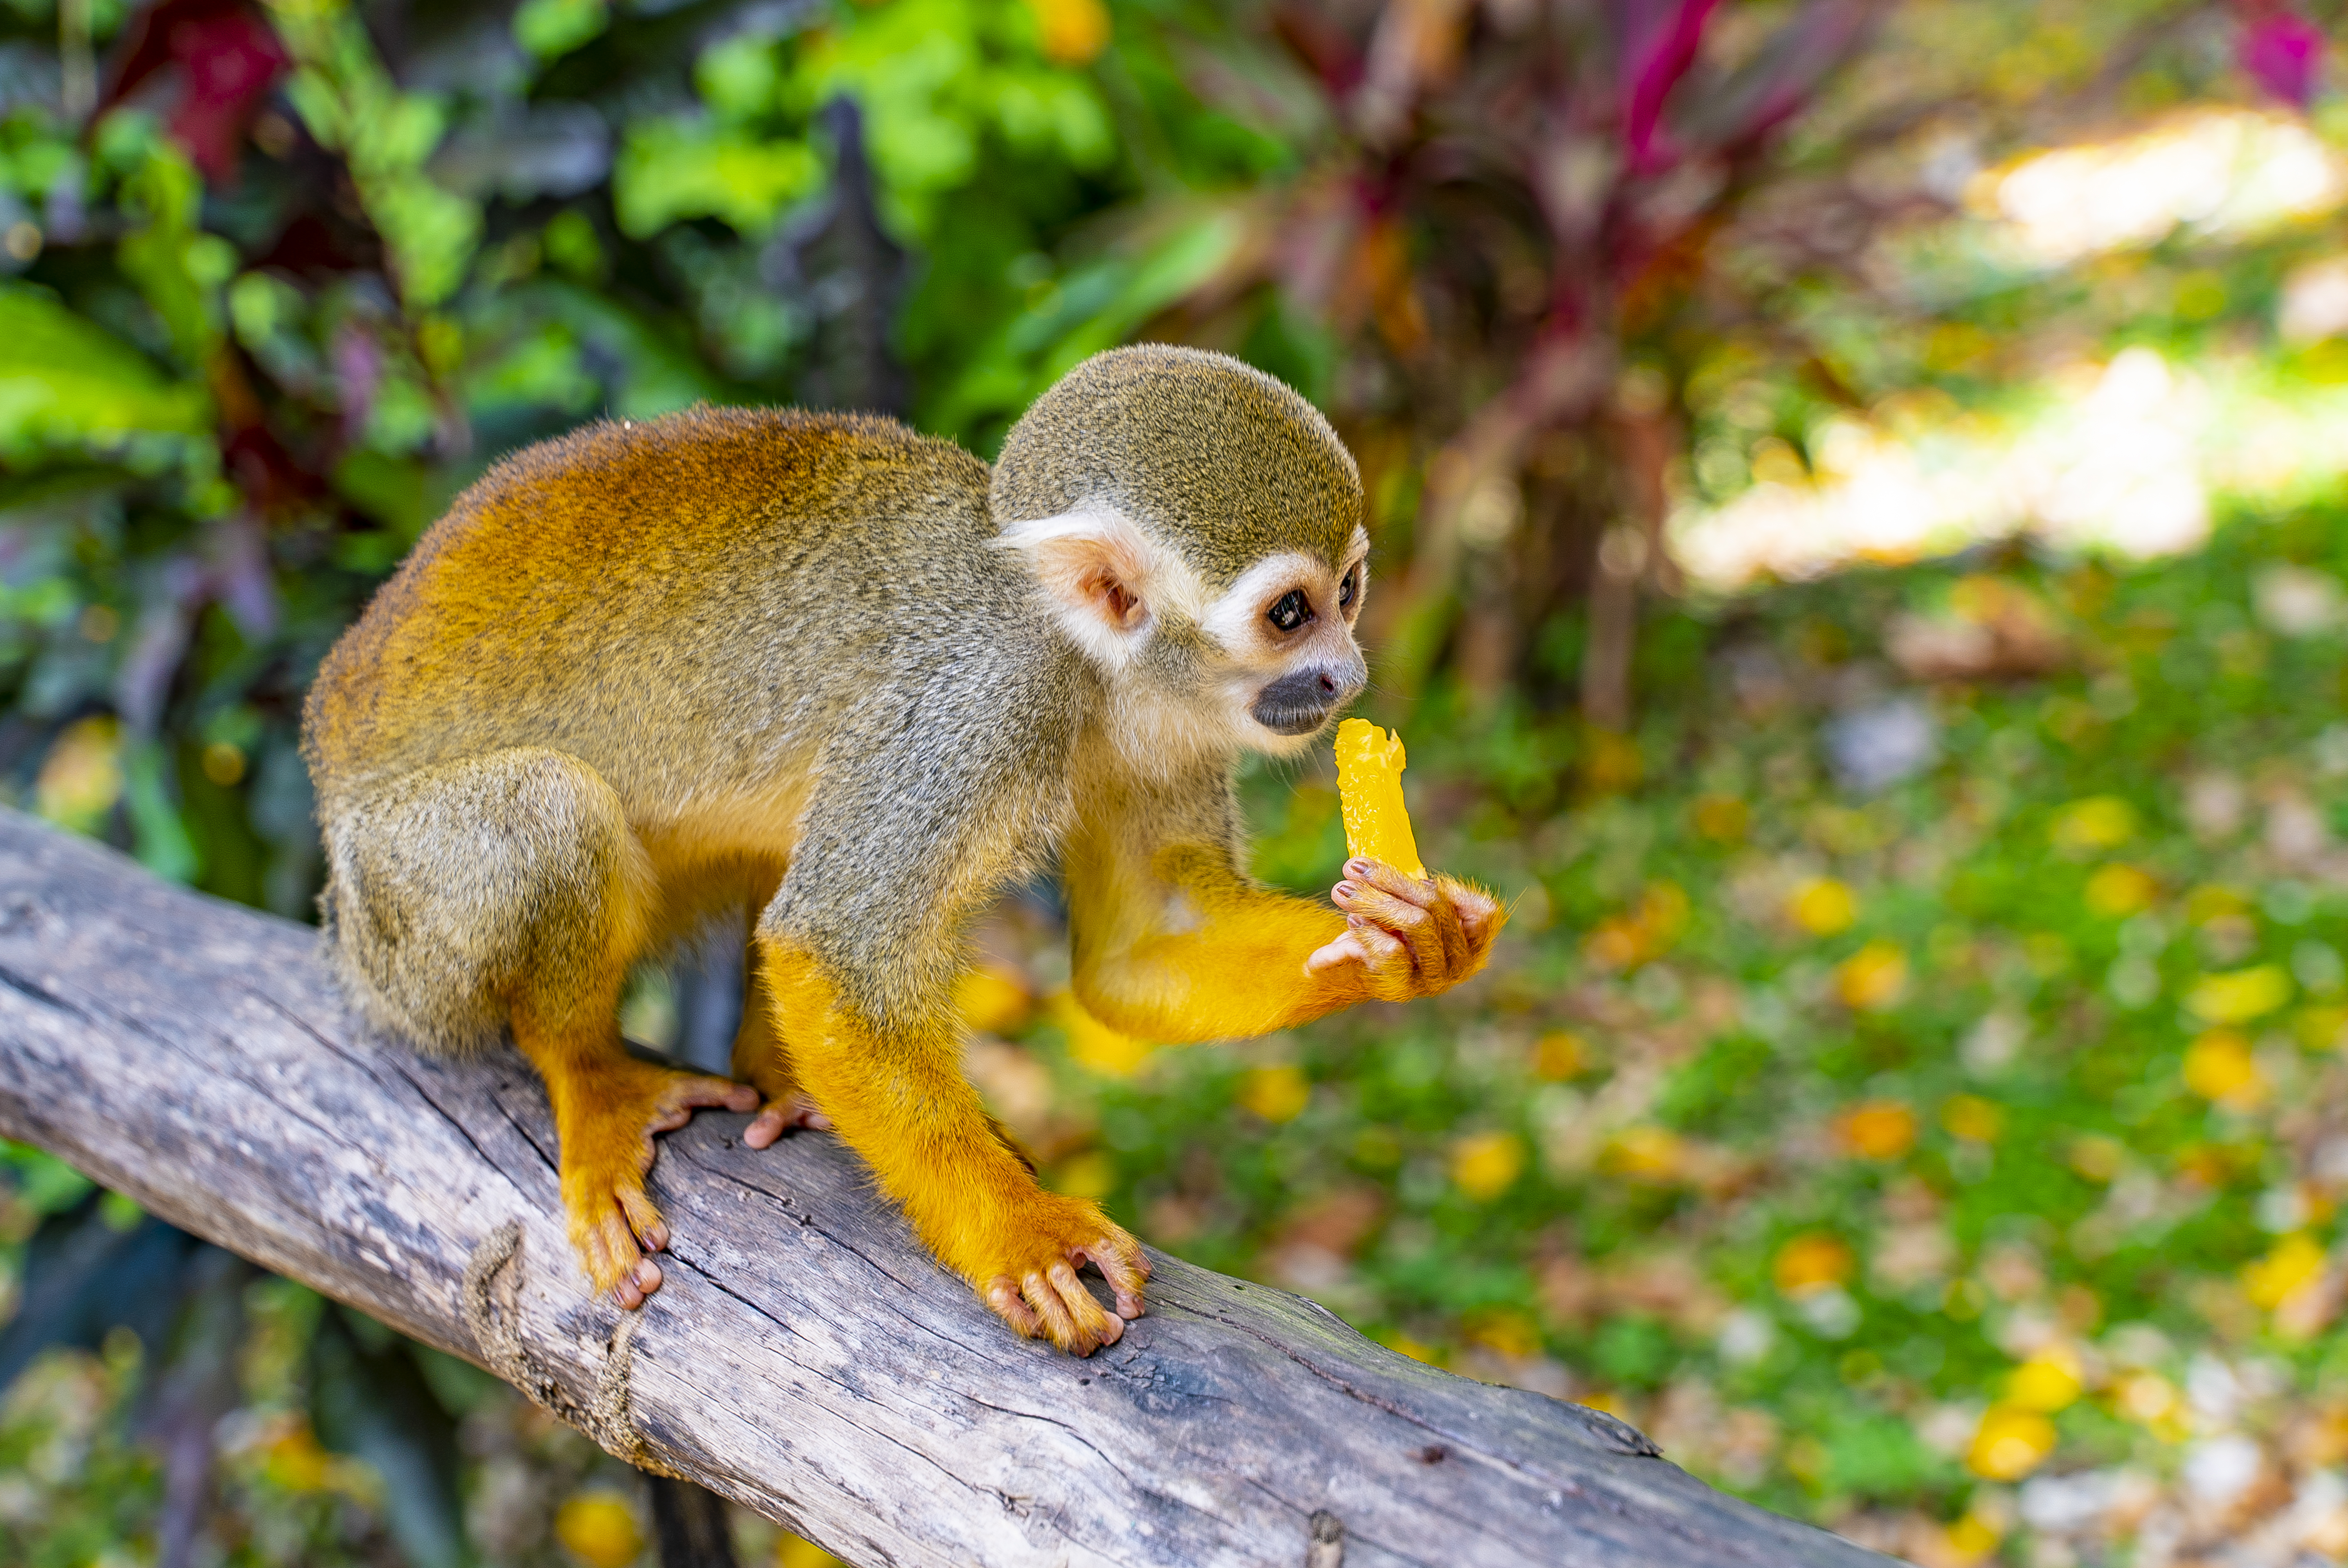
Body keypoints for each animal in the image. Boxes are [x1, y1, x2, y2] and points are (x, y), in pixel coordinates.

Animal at [300, 344, 1503, 1356]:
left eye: (1348, 592)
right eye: (1290, 614)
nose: (1348, 675)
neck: (1081, 659)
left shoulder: (1169, 722)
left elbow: (1142, 948)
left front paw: (1404, 942)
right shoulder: (976, 705)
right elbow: (835, 949)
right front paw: (1021, 1234)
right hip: (394, 928)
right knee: (546, 812)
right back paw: (589, 1076)